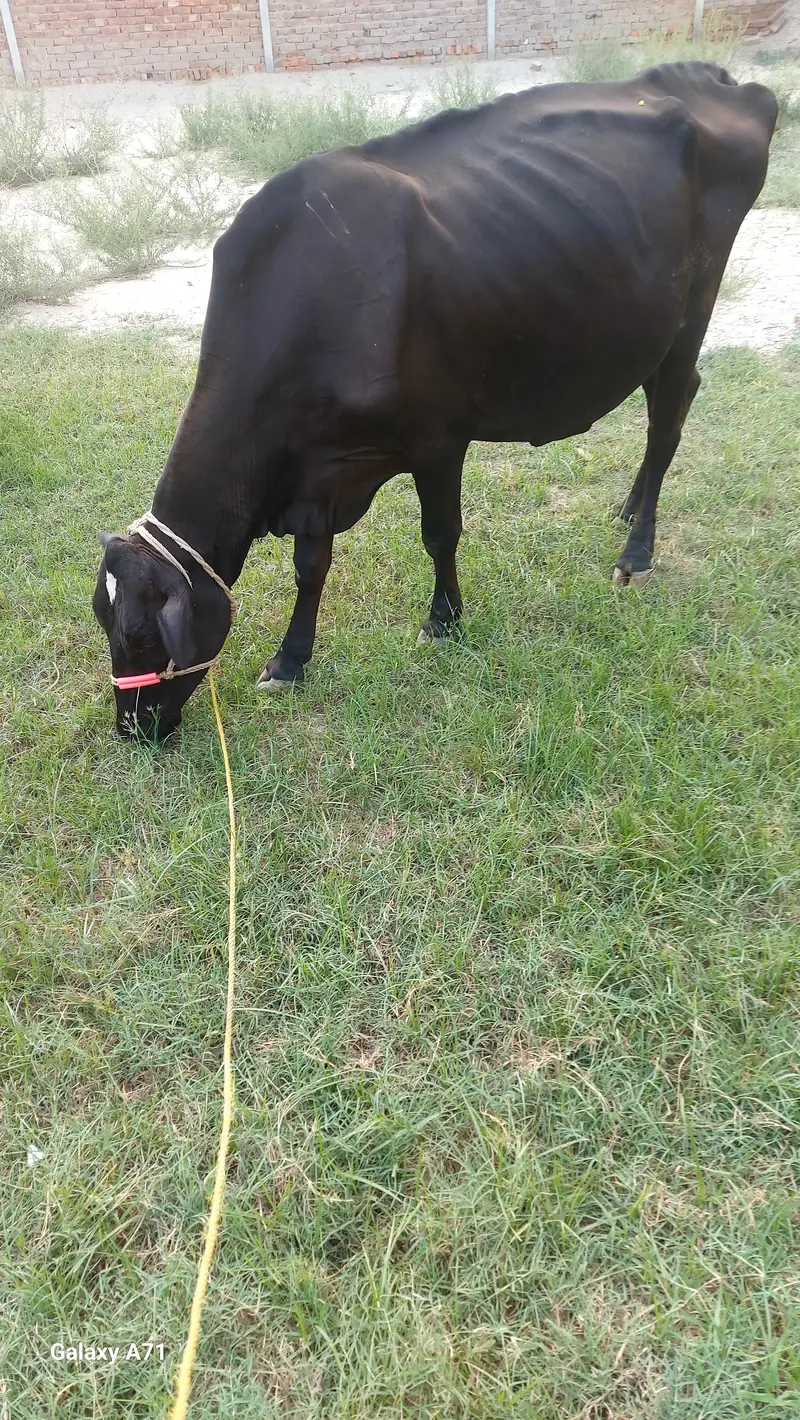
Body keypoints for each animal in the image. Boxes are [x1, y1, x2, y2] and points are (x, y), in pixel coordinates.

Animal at [94, 61, 777, 739]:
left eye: (140, 634)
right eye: (105, 622)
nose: (130, 727)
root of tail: (713, 80)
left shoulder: (438, 439)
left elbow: (440, 533)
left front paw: (444, 620)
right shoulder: (319, 470)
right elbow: (311, 565)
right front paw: (289, 661)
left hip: (692, 312)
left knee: (669, 418)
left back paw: (636, 553)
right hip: (645, 328)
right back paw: (629, 509)